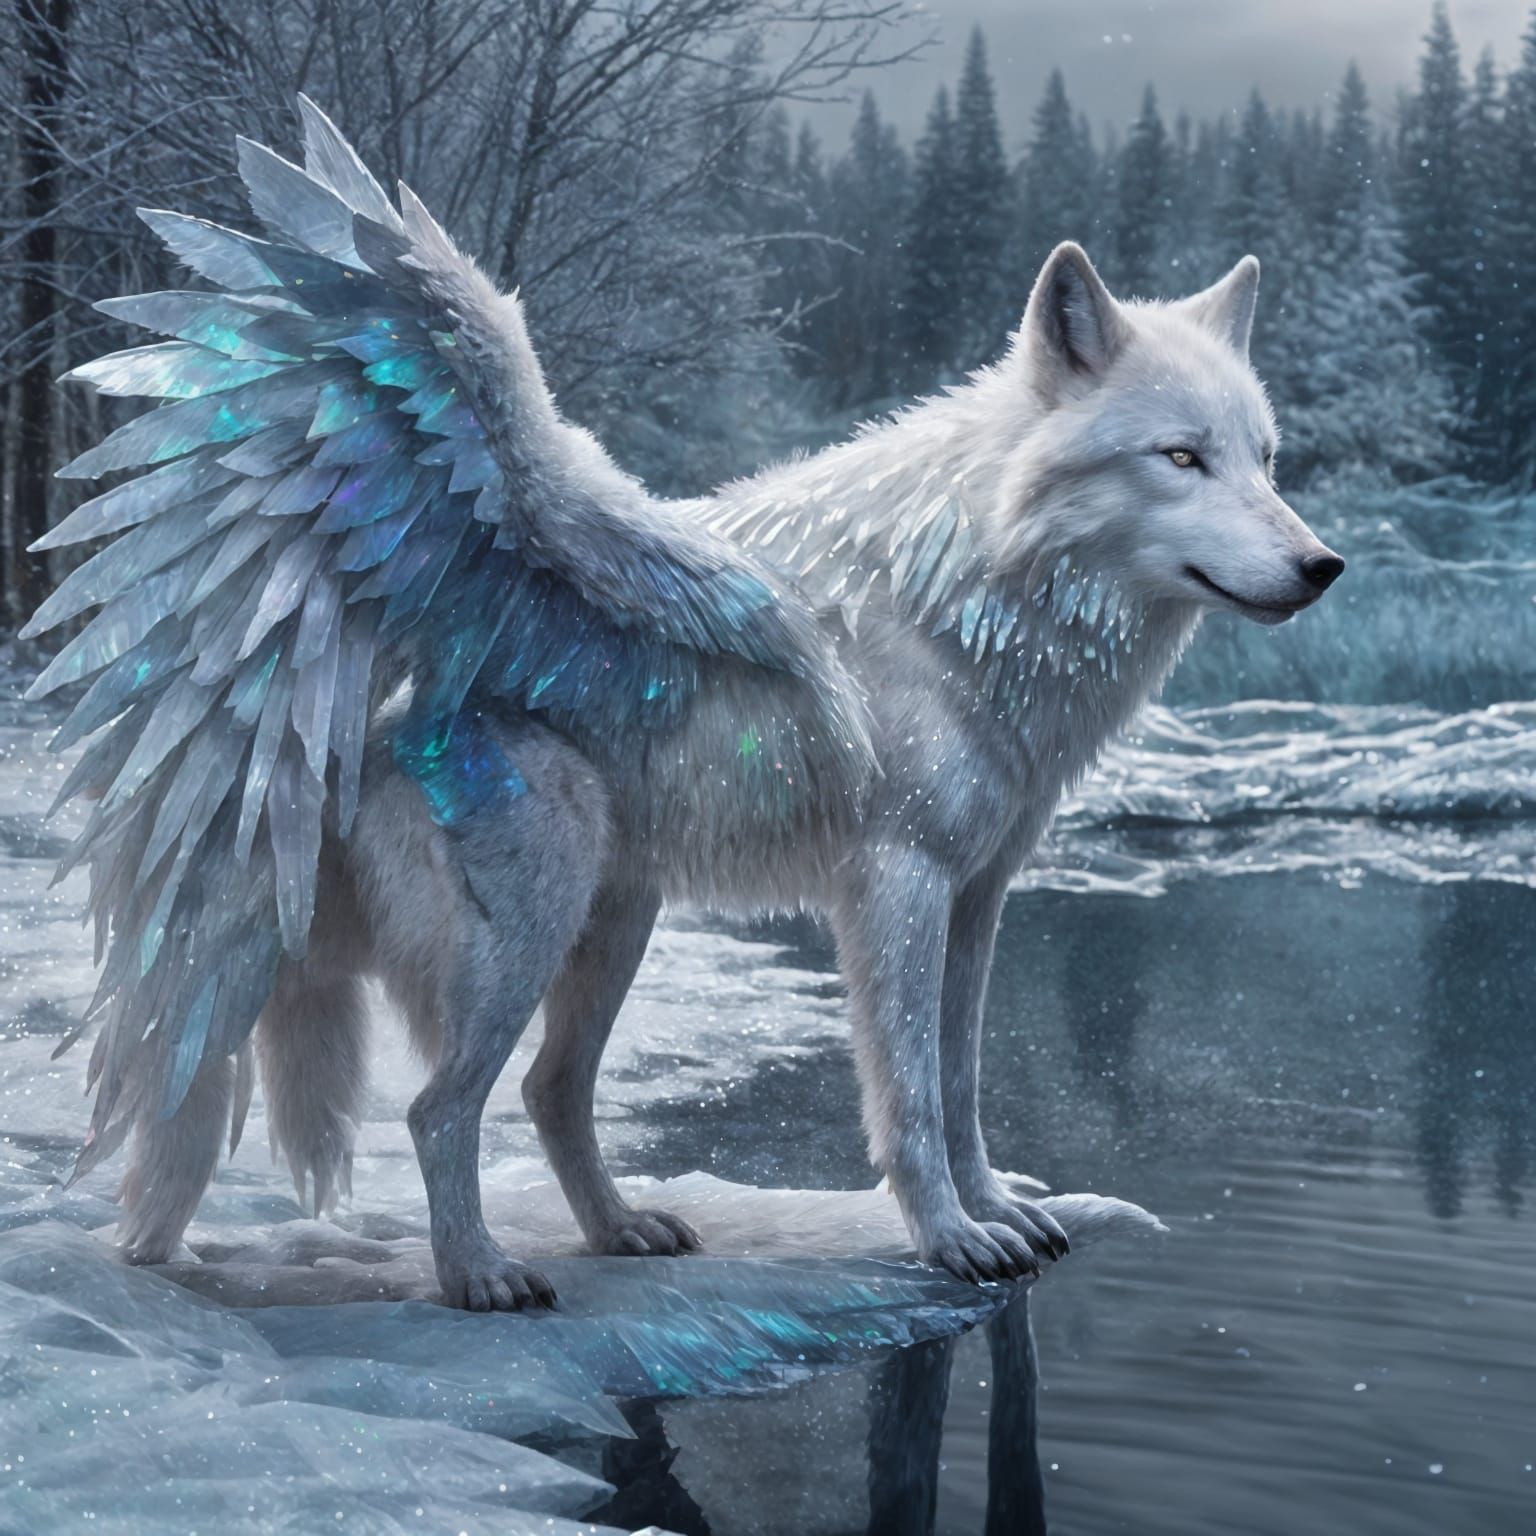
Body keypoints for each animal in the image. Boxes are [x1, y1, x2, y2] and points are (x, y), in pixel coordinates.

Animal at [35, 107, 1341, 1309]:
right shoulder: (900, 884)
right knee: (440, 1107)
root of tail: (321, 732)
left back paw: (616, 1230)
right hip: (538, 917)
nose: (1323, 566)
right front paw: (950, 1239)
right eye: (1181, 458)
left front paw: (1002, 1208)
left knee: (547, 1092)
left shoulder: (981, 895)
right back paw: (478, 1275)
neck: (965, 597)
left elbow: (964, 1085)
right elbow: (910, 1098)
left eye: (1267, 458)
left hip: (619, 918)